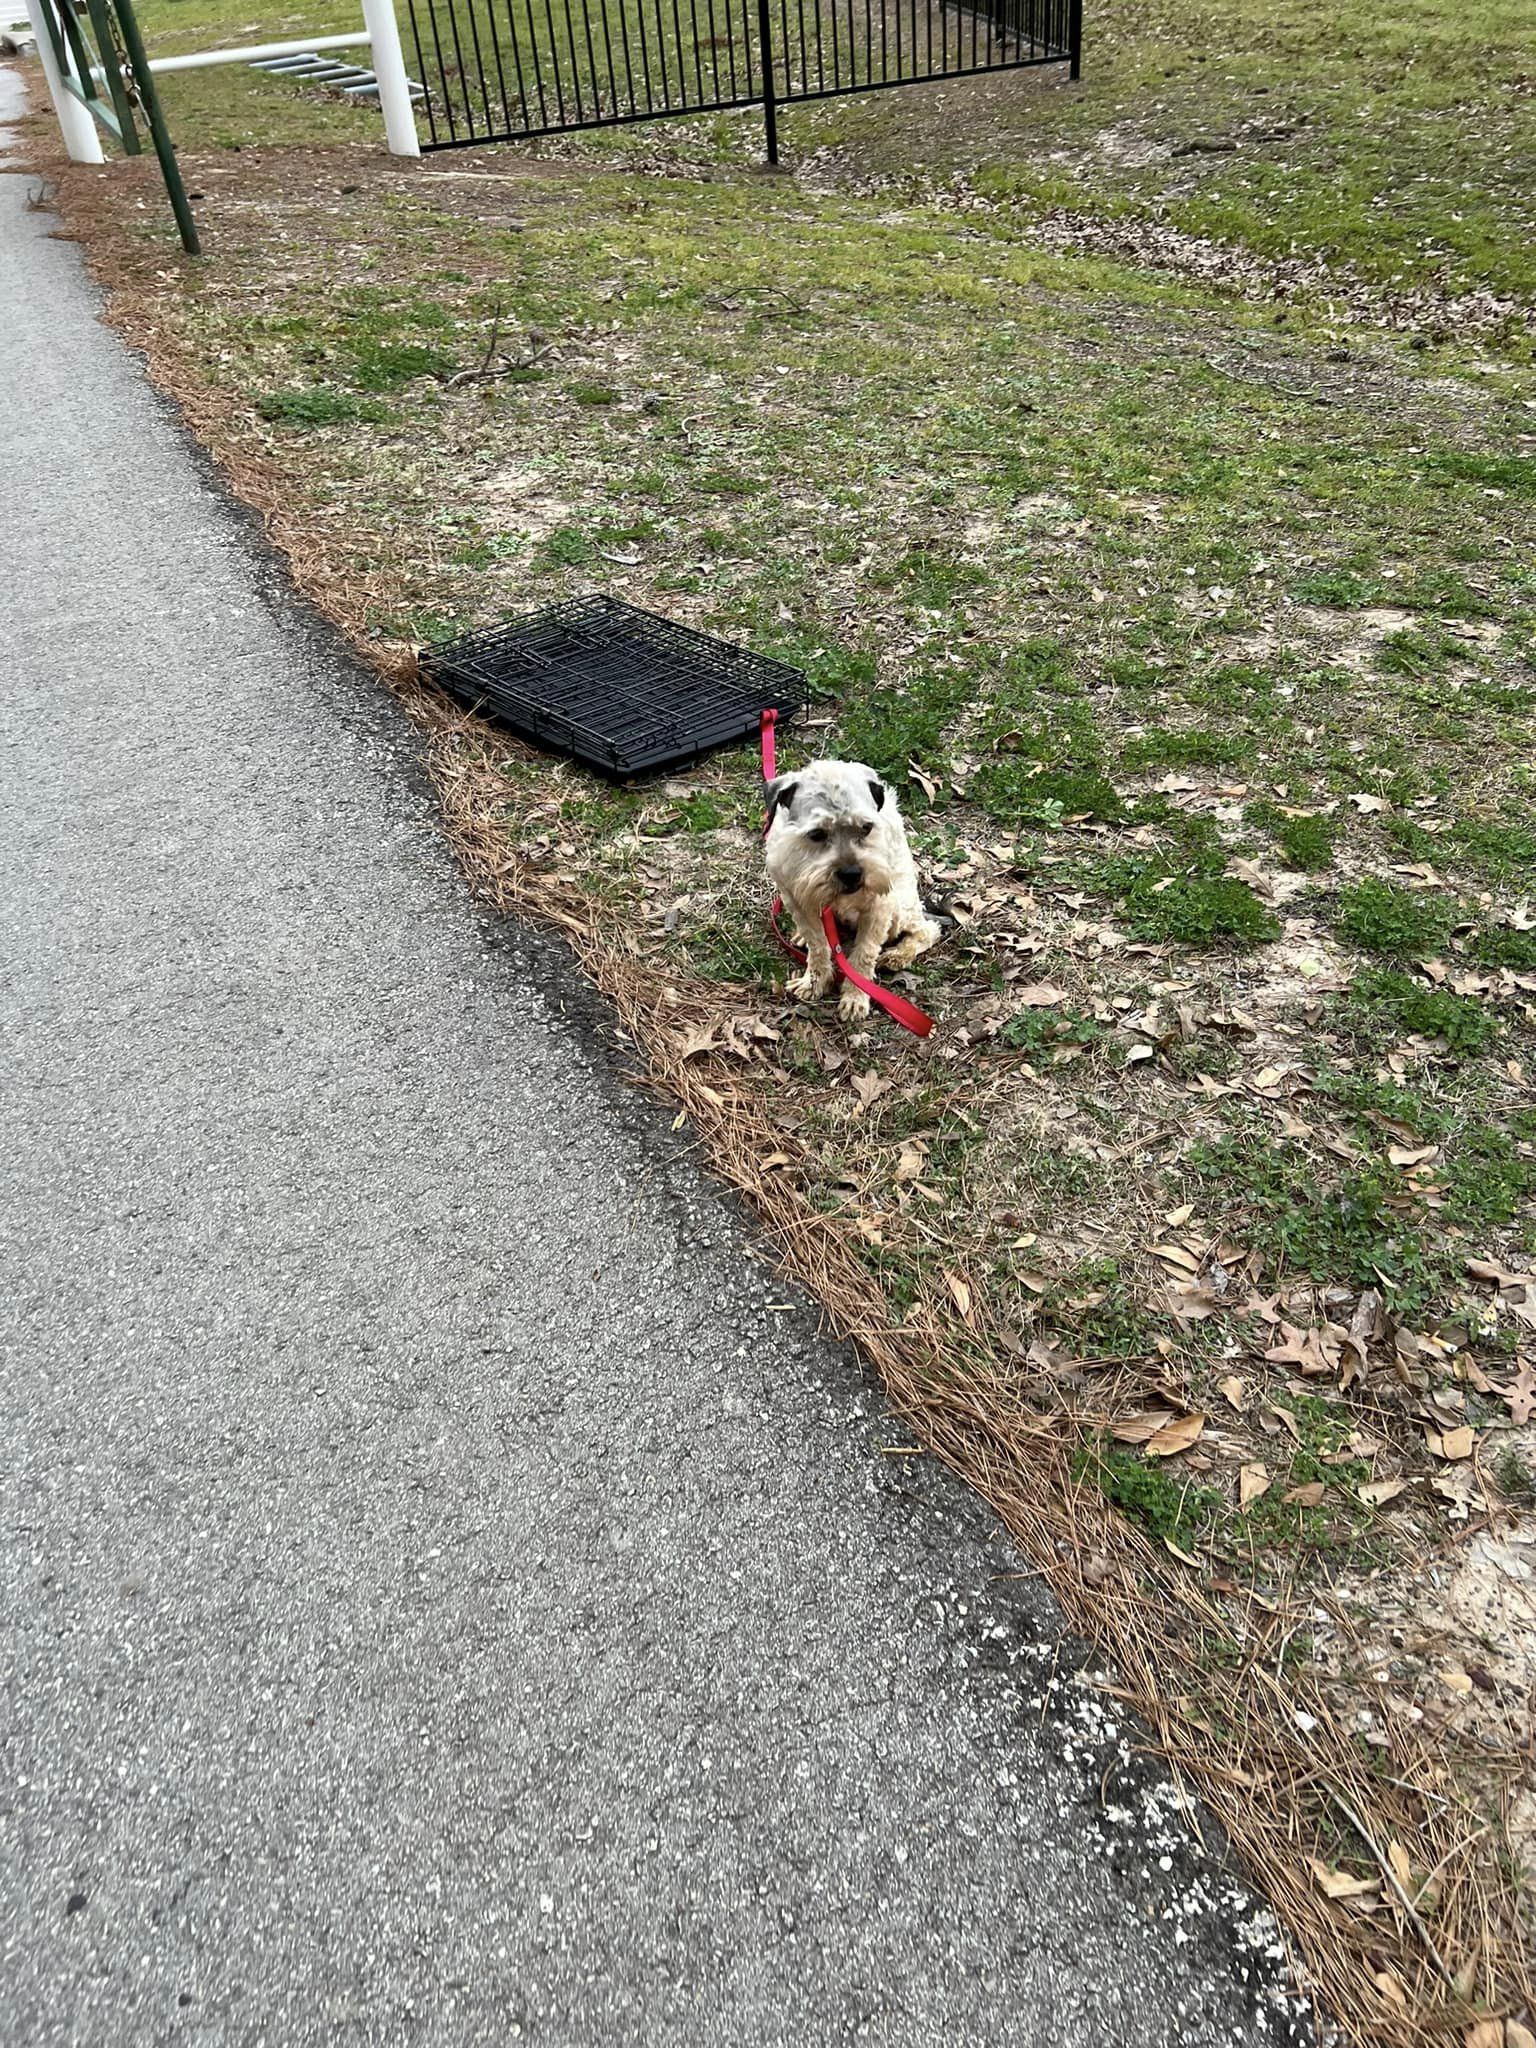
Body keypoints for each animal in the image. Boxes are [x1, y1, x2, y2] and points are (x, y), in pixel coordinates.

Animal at [765, 761, 946, 1024]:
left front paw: (854, 998)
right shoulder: (797, 900)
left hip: (901, 908)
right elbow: (818, 945)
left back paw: (898, 955)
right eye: (816, 834)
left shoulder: (879, 907)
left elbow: (863, 955)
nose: (851, 874)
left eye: (866, 827)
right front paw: (815, 982)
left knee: (928, 930)